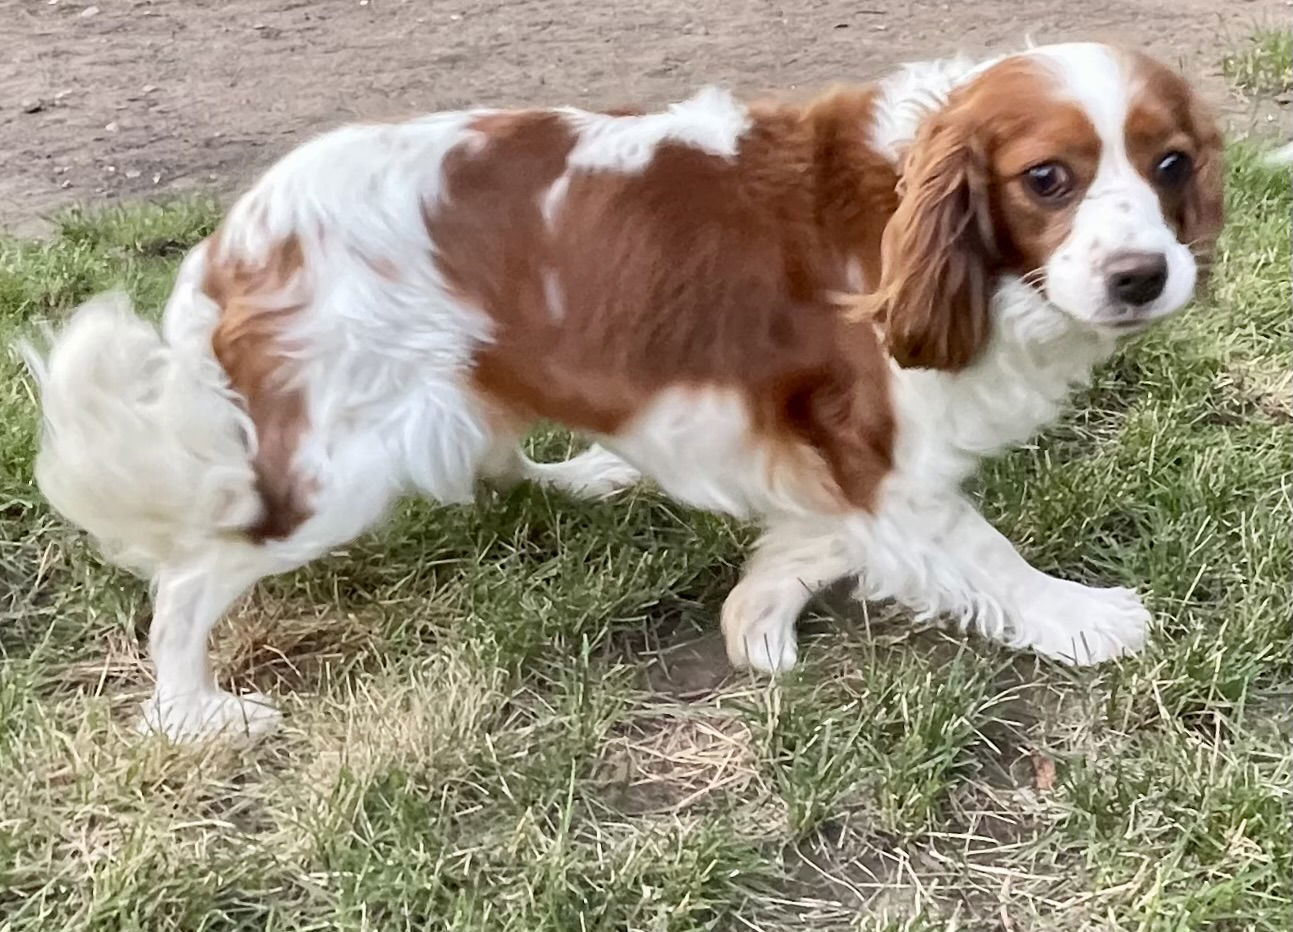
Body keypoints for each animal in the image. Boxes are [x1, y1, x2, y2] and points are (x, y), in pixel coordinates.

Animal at [25, 41, 1225, 739]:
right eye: (1047, 180)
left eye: (1170, 165)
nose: (1144, 275)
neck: (912, 202)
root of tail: (235, 234)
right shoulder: (876, 443)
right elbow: (981, 552)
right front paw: (1082, 618)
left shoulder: (822, 452)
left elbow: (817, 539)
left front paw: (758, 614)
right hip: (337, 468)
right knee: (190, 581)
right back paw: (192, 712)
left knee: (499, 454)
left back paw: (584, 476)